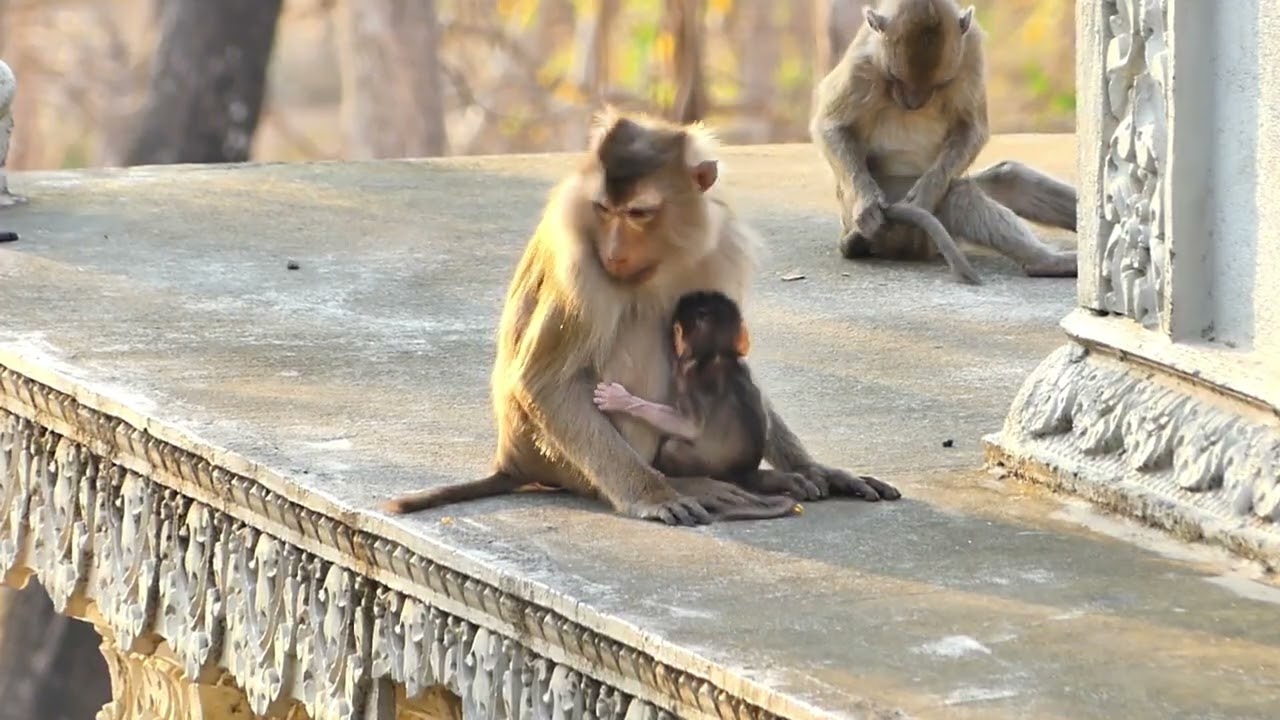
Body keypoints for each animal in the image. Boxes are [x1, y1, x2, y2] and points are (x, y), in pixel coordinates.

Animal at [592, 290, 830, 501]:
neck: (718, 354)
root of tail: (745, 472)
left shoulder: (687, 373)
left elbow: (688, 425)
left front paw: (620, 399)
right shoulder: (741, 365)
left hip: (707, 465)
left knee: (672, 447)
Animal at [809, 0, 1079, 279]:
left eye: (941, 83)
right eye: (895, 78)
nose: (913, 104)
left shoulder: (971, 50)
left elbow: (972, 128)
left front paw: (925, 195)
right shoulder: (862, 66)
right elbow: (831, 127)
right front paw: (867, 202)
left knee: (1011, 178)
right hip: (899, 232)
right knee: (959, 198)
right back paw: (1045, 262)